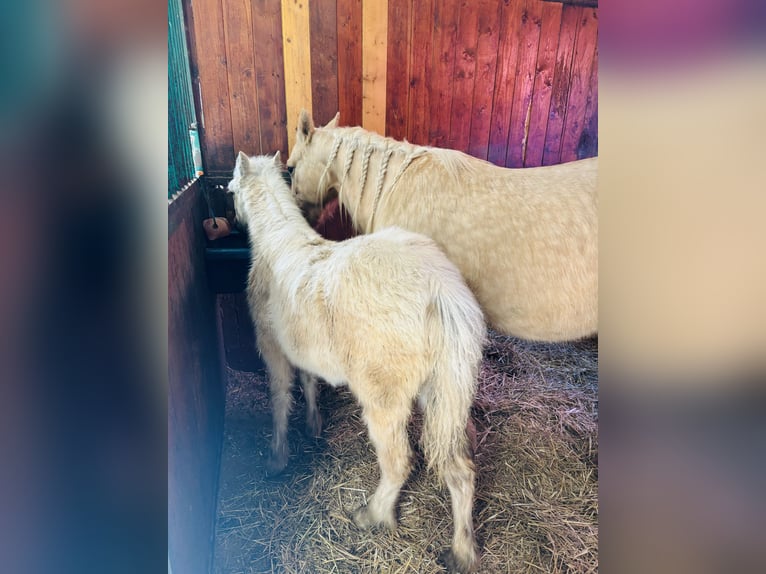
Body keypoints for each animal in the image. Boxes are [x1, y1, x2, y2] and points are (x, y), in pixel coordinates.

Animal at [227, 151, 486, 573]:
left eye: (231, 190)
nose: (233, 220)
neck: (278, 244)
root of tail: (441, 290)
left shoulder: (274, 348)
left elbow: (280, 398)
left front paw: (277, 457)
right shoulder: (302, 348)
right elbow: (309, 383)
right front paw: (314, 426)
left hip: (383, 398)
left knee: (398, 461)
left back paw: (372, 515)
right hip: (442, 393)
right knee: (459, 468)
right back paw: (461, 551)